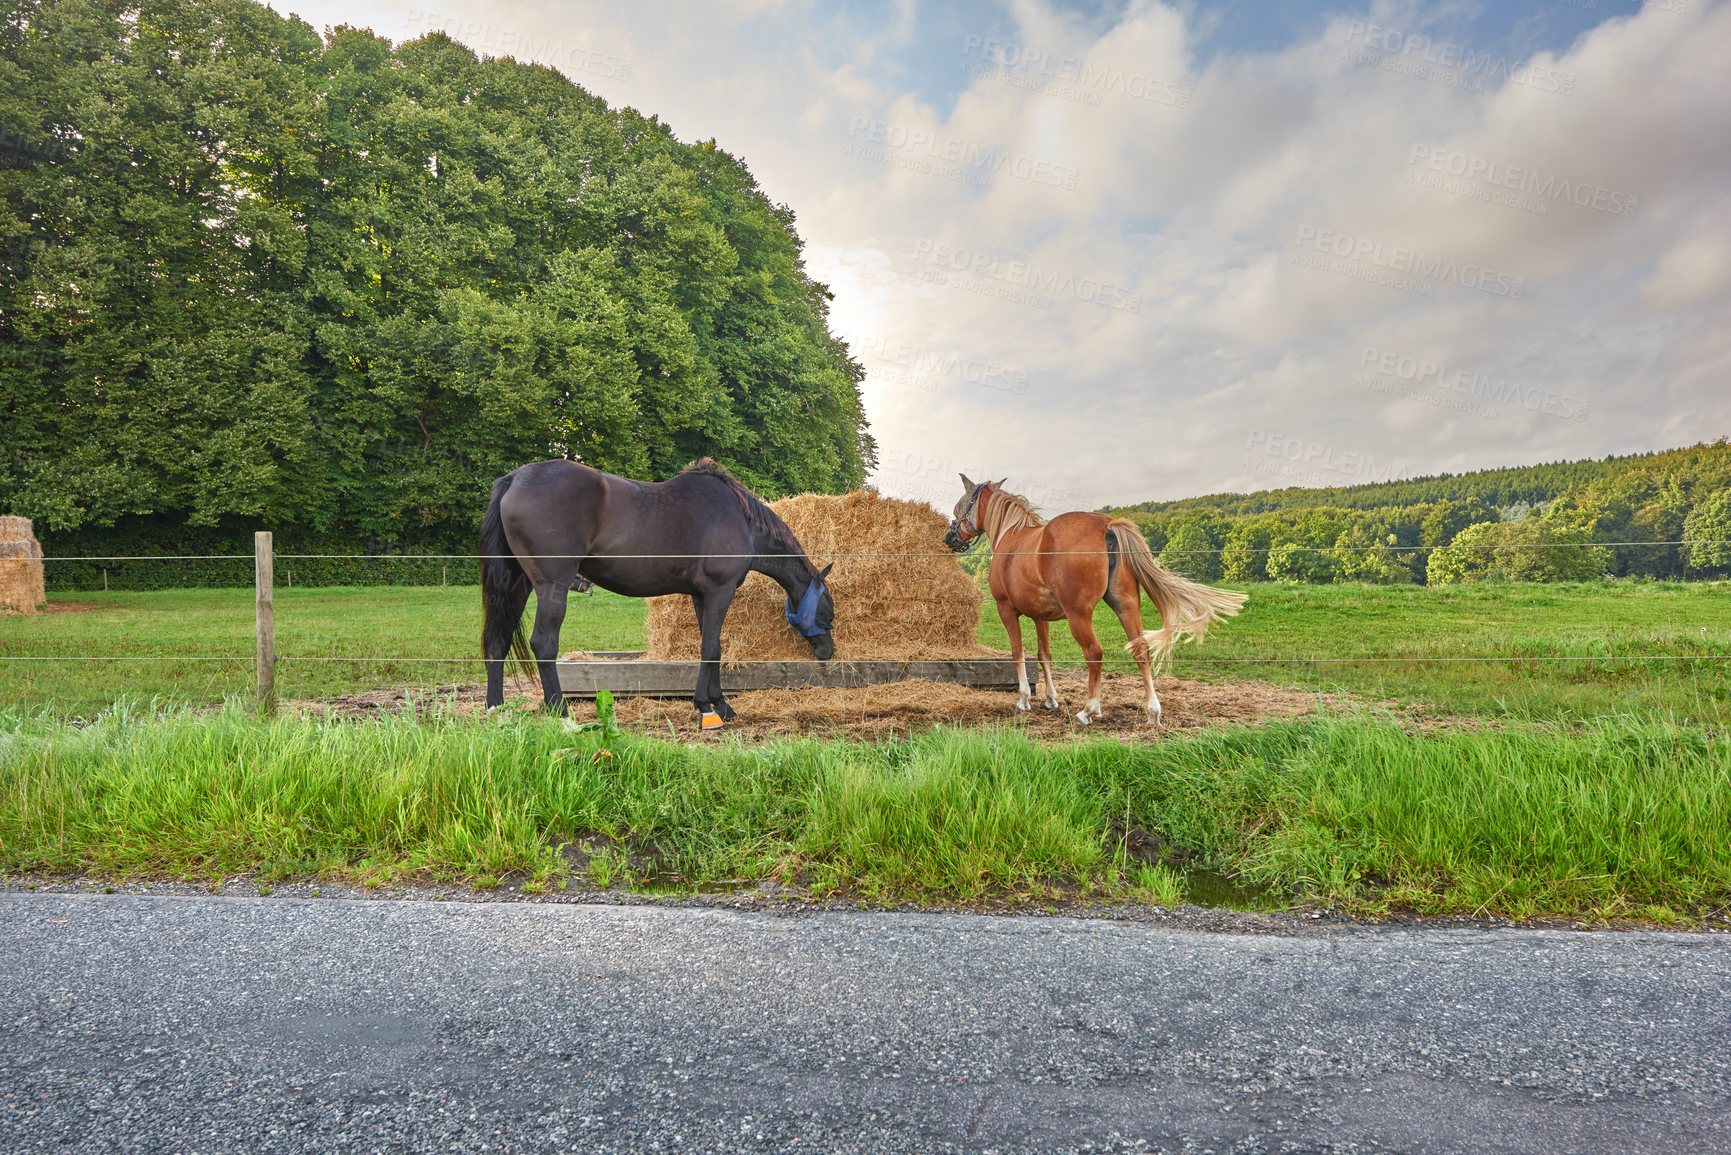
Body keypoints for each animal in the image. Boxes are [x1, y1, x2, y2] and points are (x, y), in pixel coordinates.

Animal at [477, 457, 834, 716]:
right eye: (829, 612)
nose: (828, 652)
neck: (740, 518)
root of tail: (515, 479)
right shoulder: (720, 590)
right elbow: (712, 648)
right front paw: (712, 707)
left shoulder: (701, 595)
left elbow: (710, 645)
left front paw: (714, 701)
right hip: (552, 585)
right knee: (544, 644)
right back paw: (560, 713)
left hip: (518, 584)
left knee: (498, 641)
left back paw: (497, 709)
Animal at [948, 474, 1246, 727]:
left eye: (959, 507)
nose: (950, 538)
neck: (1011, 535)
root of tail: (1108, 525)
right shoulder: (1040, 616)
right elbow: (1044, 655)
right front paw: (1050, 699)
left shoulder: (1007, 610)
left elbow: (1018, 652)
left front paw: (1024, 699)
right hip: (1127, 607)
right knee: (1141, 651)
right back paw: (1153, 711)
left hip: (1079, 615)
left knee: (1094, 653)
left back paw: (1089, 710)